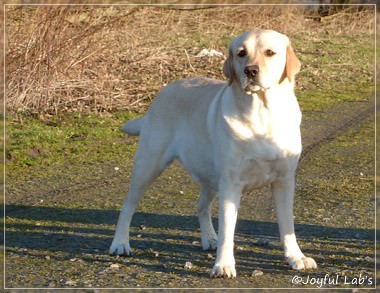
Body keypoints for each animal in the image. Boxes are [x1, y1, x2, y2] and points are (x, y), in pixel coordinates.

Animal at [110, 30, 318, 278]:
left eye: (270, 52)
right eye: (241, 53)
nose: (250, 71)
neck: (261, 113)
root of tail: (165, 90)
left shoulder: (284, 180)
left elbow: (287, 225)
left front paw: (296, 257)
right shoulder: (231, 183)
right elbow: (228, 229)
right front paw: (224, 265)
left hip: (209, 175)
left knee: (201, 207)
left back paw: (209, 238)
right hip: (149, 165)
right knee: (127, 205)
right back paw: (120, 243)